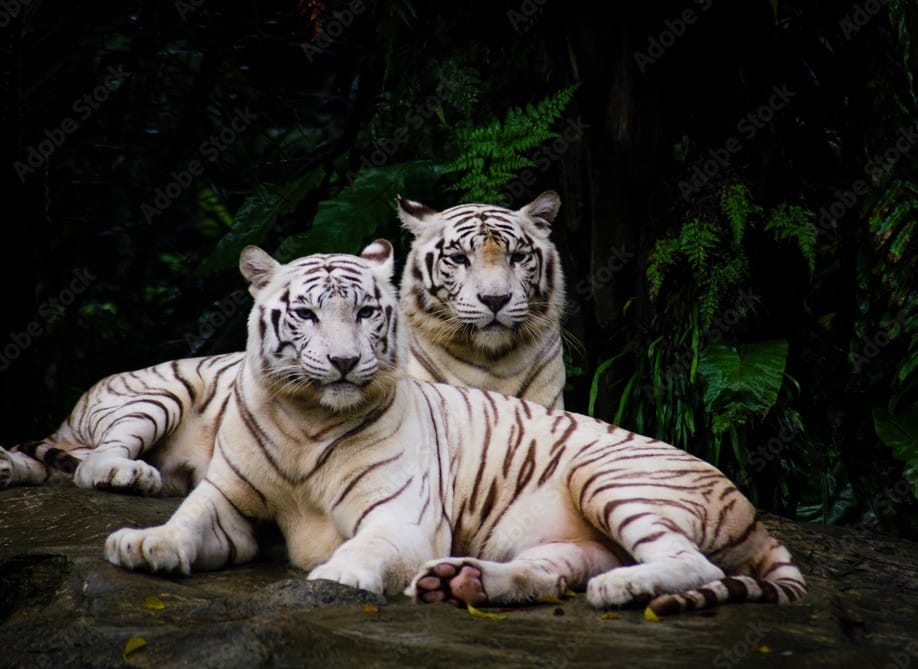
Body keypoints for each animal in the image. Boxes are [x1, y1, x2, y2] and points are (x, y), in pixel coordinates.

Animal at [93, 242, 806, 616]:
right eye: (306, 314)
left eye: (367, 312)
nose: (345, 362)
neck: (307, 421)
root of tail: (750, 508)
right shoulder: (228, 501)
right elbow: (187, 520)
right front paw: (145, 544)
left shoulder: (403, 517)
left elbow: (367, 549)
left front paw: (335, 575)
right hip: (562, 539)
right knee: (551, 574)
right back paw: (460, 581)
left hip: (612, 480)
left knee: (686, 560)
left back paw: (621, 588)